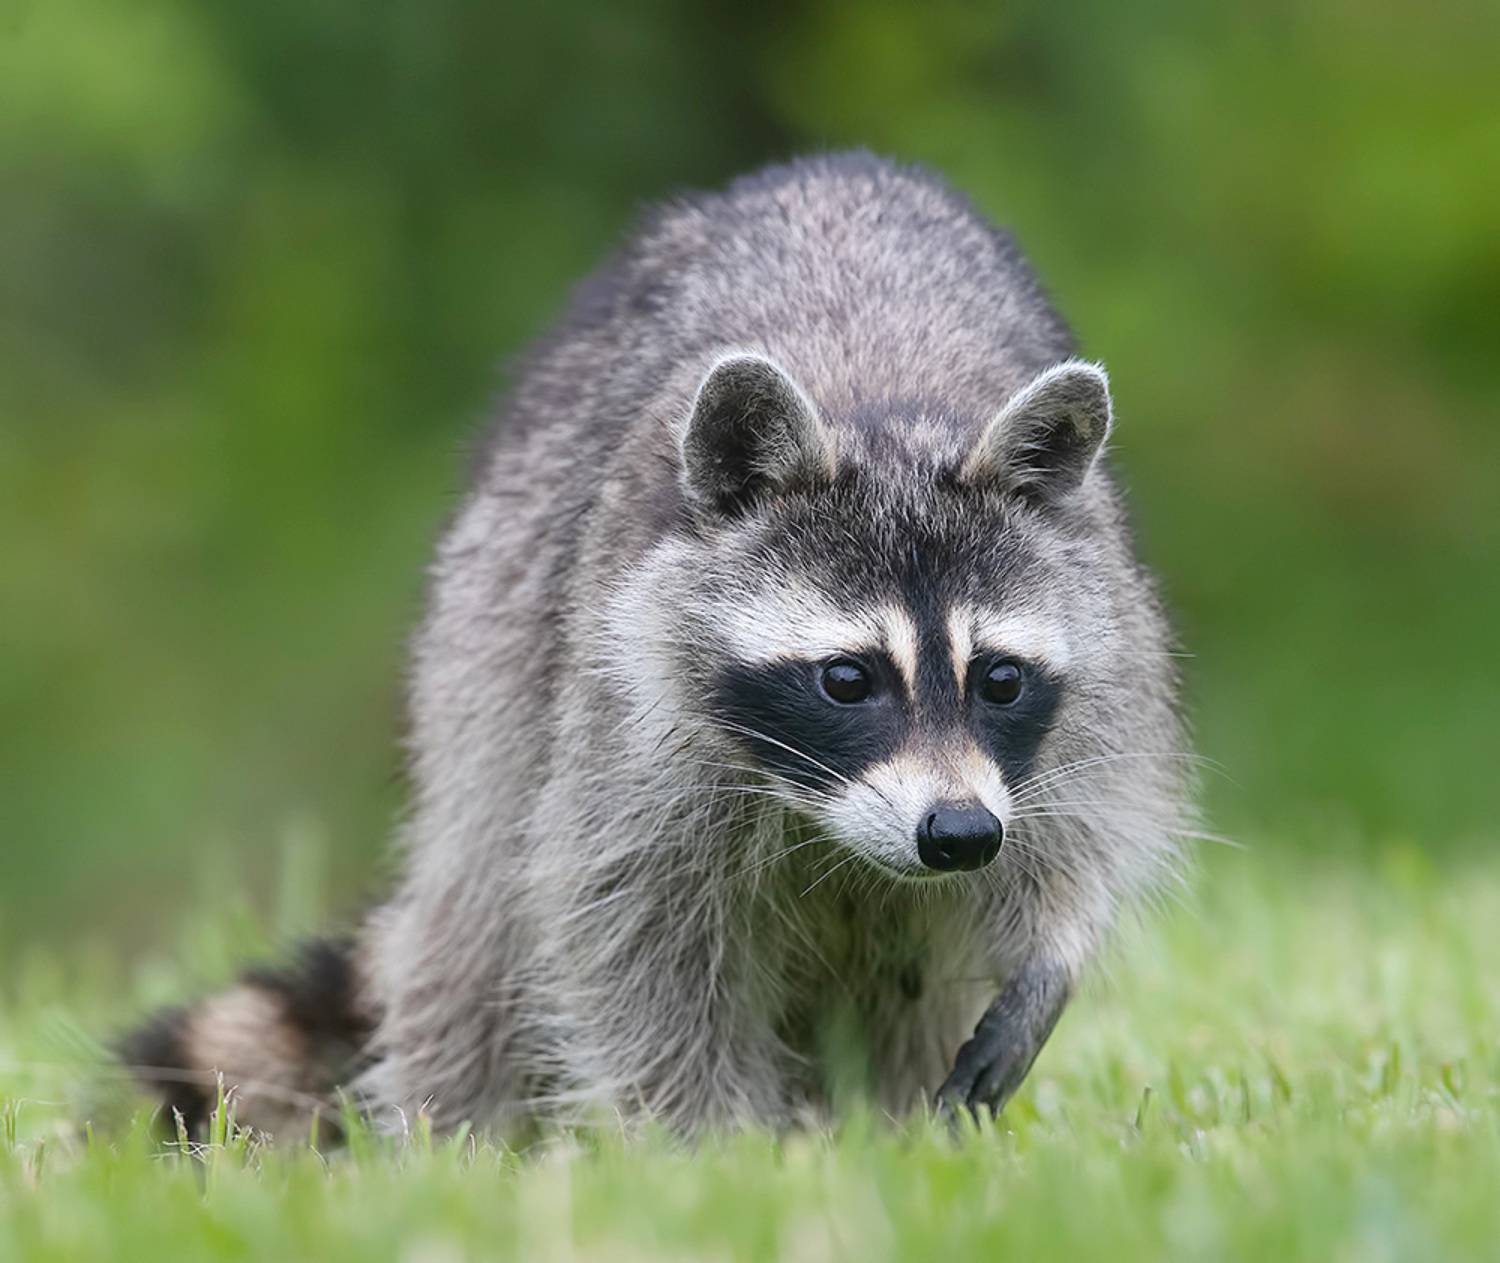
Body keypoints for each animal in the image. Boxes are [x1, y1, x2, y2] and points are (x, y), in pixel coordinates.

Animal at [123, 152, 1191, 1139]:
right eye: (847, 678)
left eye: (1000, 678)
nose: (959, 832)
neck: (881, 405)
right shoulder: (626, 700)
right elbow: (624, 926)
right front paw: (717, 1147)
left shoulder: (1107, 647)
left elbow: (1087, 830)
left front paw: (1052, 955)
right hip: (490, 622)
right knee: (473, 926)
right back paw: (452, 1125)